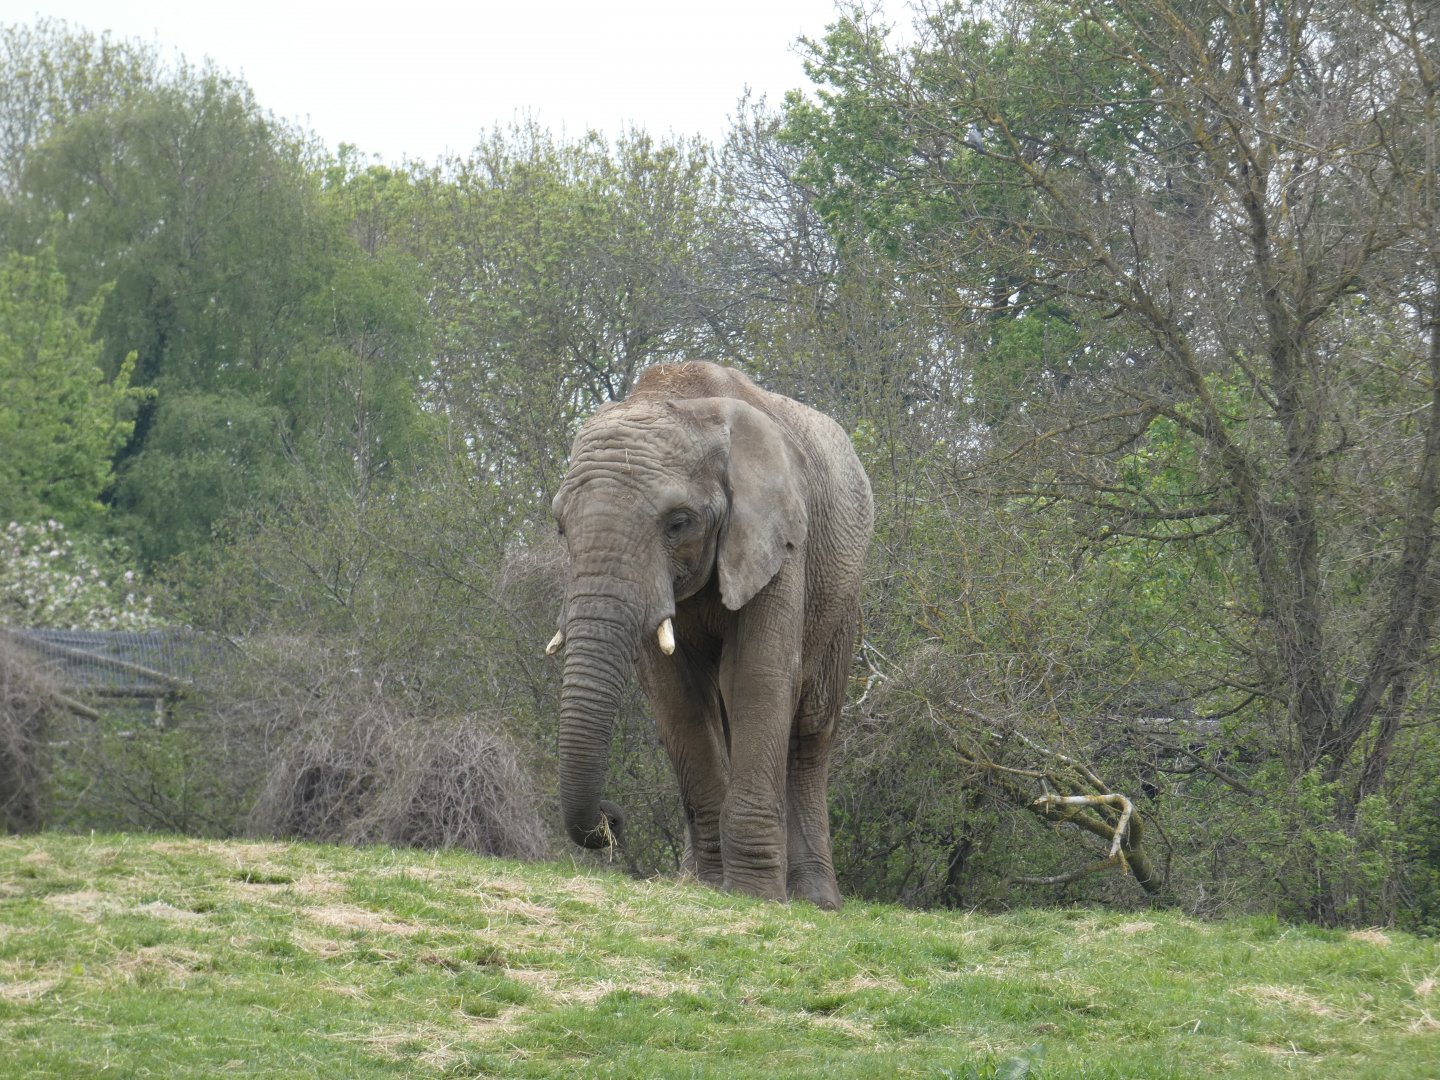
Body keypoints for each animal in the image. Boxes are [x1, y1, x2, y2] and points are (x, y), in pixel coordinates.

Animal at [548, 360, 873, 910]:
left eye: (679, 523)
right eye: (561, 528)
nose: (613, 821)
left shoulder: (779, 541)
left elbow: (758, 677)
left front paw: (752, 896)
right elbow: (678, 696)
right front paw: (709, 886)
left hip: (842, 594)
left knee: (810, 728)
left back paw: (816, 900)